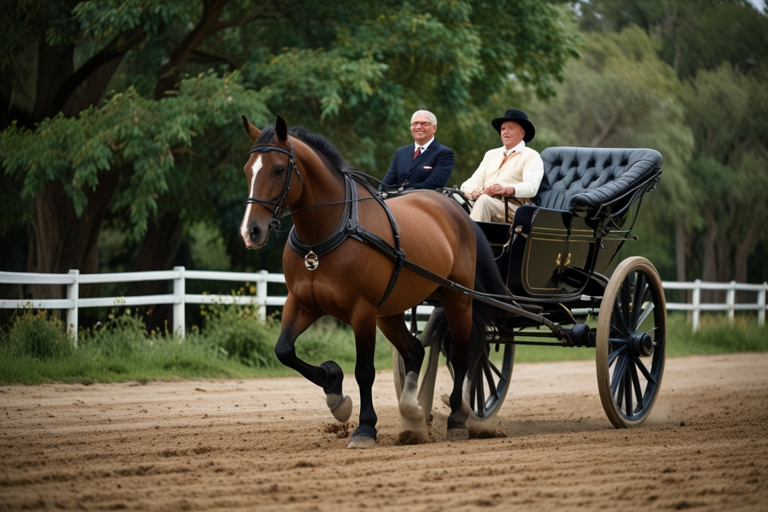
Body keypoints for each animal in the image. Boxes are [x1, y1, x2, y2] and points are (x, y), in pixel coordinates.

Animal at [237, 116, 508, 448]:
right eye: (248, 169)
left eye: (277, 169)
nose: (250, 231)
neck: (331, 230)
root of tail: (460, 213)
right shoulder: (302, 303)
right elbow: (284, 350)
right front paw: (334, 388)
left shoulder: (362, 311)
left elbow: (364, 371)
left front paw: (364, 427)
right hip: (390, 310)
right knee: (415, 351)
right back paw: (412, 412)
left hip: (456, 298)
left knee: (461, 354)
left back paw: (457, 418)